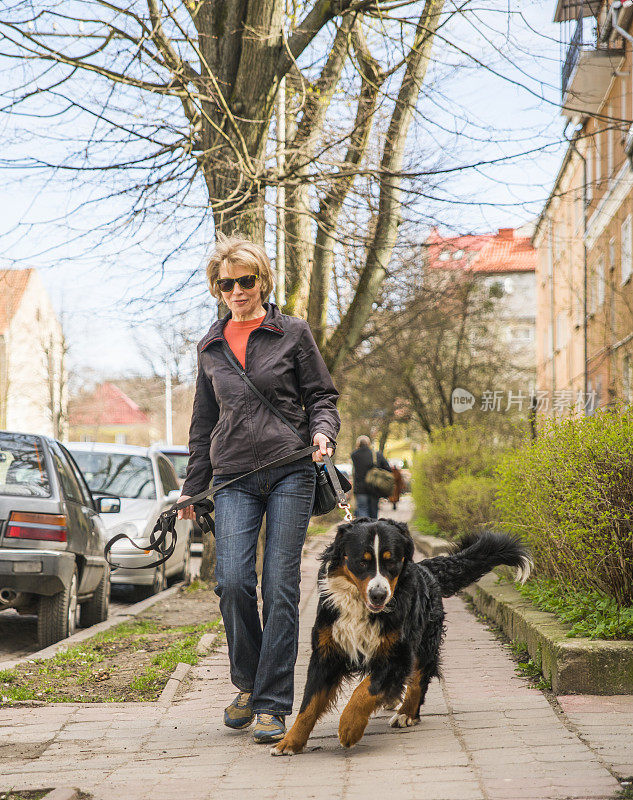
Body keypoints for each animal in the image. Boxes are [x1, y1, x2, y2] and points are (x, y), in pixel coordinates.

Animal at [270, 520, 532, 756]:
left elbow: (364, 691)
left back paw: (406, 713)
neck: (360, 608)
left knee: (419, 680)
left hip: (424, 643)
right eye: (362, 562)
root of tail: (426, 568)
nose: (378, 595)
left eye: (391, 562)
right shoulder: (326, 653)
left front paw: (349, 728)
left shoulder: (397, 655)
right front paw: (290, 742)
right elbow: (309, 703)